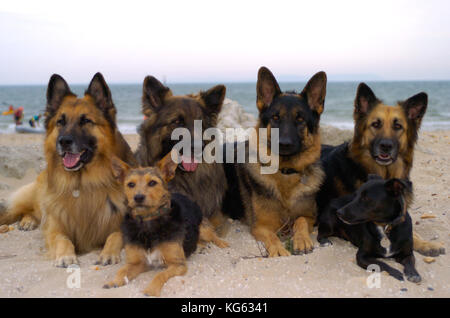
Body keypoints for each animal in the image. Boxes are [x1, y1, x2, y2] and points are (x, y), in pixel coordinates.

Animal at [0, 72, 137, 266]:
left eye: (85, 121)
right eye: (60, 122)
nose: (63, 141)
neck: (83, 184)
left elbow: (115, 235)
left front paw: (109, 253)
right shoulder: (56, 227)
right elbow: (61, 239)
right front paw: (66, 256)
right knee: (29, 211)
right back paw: (28, 221)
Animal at [103, 153, 202, 296]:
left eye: (152, 183)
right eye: (130, 184)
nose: (138, 197)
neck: (147, 223)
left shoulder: (178, 264)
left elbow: (159, 275)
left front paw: (150, 290)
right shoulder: (138, 263)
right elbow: (121, 271)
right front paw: (114, 281)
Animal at [227, 66, 326, 256]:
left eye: (300, 119)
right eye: (275, 118)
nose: (284, 143)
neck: (285, 172)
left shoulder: (311, 217)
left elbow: (300, 220)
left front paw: (301, 240)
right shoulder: (261, 226)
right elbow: (272, 236)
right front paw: (279, 249)